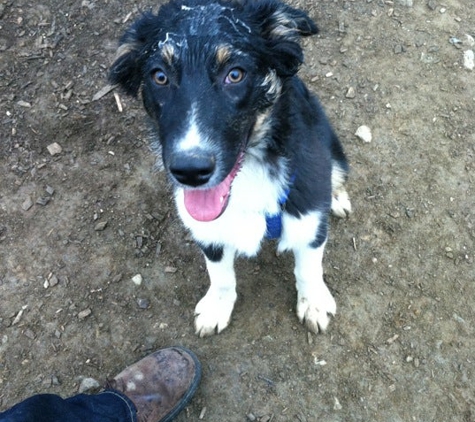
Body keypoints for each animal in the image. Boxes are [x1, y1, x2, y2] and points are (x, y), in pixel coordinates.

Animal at [109, 0, 352, 336]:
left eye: (235, 74)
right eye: (159, 77)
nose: (190, 171)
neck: (249, 175)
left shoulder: (309, 213)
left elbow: (309, 267)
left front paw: (314, 302)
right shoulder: (206, 229)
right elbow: (220, 274)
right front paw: (217, 307)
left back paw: (338, 197)